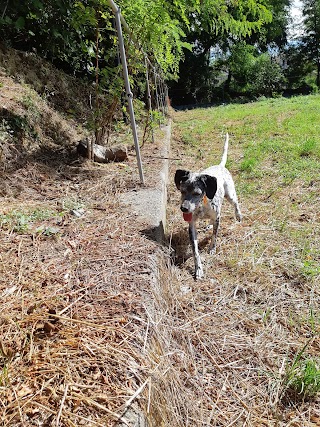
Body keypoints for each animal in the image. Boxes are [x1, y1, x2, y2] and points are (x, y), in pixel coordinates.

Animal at [176, 134, 241, 280]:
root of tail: (220, 165)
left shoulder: (217, 216)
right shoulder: (192, 225)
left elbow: (214, 236)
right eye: (182, 191)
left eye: (197, 193)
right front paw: (198, 269)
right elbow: (195, 251)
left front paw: (212, 248)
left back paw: (238, 215)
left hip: (230, 195)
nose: (184, 209)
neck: (201, 206)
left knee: (236, 203)